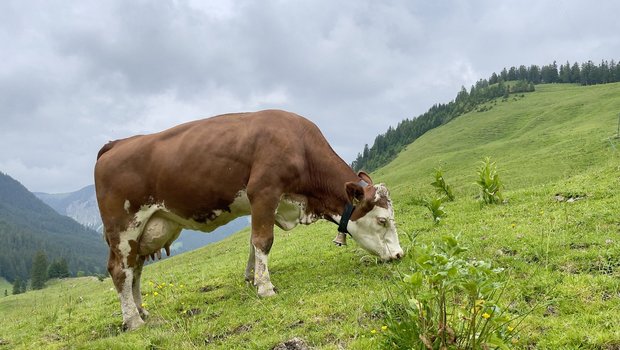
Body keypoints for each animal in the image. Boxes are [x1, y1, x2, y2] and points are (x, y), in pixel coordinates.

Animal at [92, 109, 402, 330]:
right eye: (383, 220)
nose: (400, 254)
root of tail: (115, 144)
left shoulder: (262, 204)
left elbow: (253, 244)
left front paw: (252, 278)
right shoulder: (264, 191)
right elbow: (263, 241)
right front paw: (265, 288)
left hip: (144, 229)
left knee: (135, 268)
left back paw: (141, 311)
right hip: (123, 225)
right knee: (120, 270)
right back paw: (133, 321)